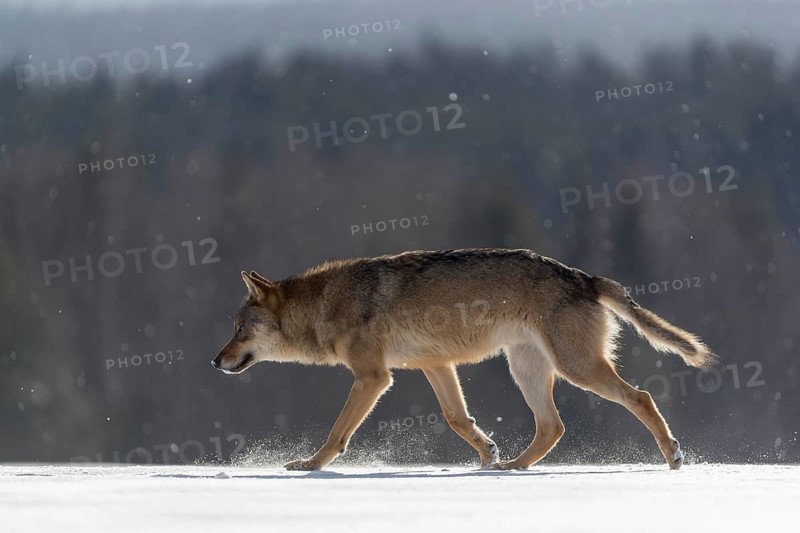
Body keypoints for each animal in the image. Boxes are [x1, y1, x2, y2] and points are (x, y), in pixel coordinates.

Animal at [212, 248, 716, 471]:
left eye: (238, 329)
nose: (215, 362)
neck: (327, 305)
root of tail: (586, 277)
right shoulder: (436, 366)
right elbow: (457, 419)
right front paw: (488, 452)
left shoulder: (373, 377)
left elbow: (337, 432)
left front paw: (311, 465)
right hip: (527, 371)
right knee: (553, 426)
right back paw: (512, 467)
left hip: (576, 370)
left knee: (642, 397)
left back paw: (673, 456)